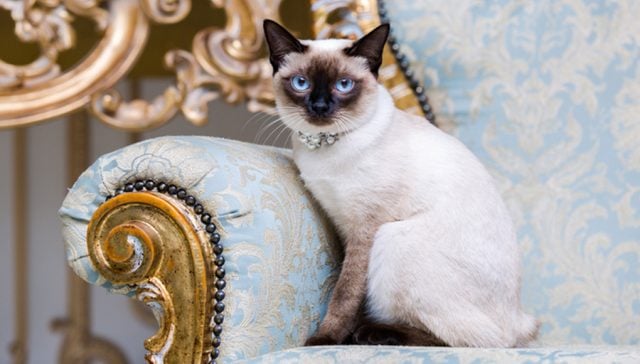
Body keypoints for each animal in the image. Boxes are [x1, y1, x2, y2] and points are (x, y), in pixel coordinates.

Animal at [262, 19, 536, 346]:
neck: (326, 147)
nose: (319, 106)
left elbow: (345, 292)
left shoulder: (366, 229)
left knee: (468, 339)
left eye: (344, 85)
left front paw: (325, 339)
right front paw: (341, 333)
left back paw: (373, 333)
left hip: (394, 239)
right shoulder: (342, 223)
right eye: (301, 83)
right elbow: (350, 289)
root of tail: (519, 320)